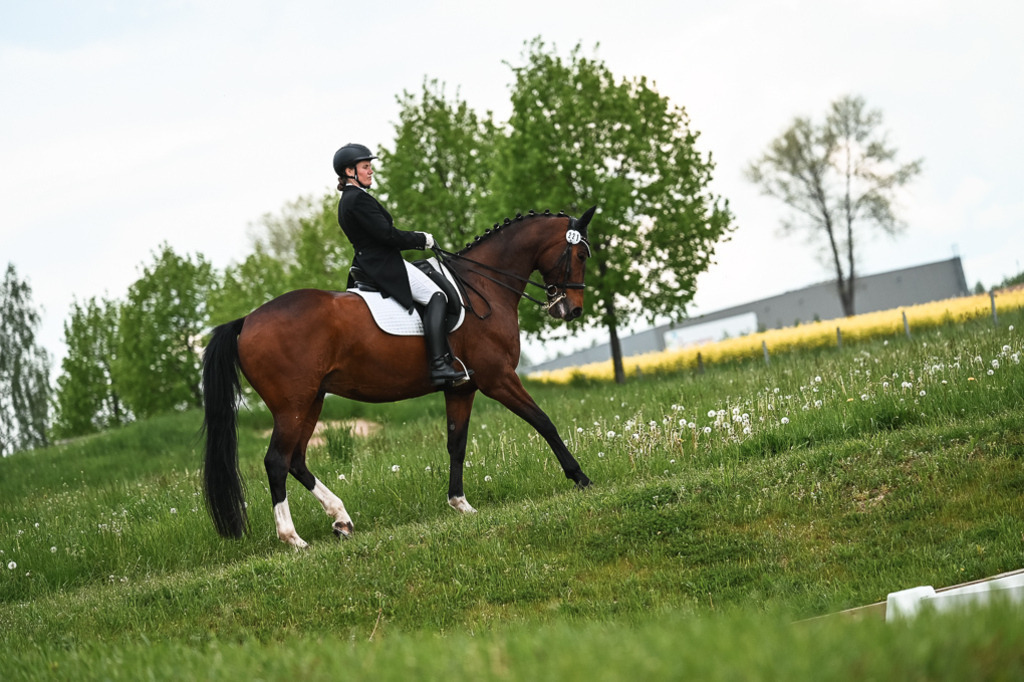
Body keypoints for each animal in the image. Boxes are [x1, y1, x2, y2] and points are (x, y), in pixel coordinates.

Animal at [201, 206, 597, 547]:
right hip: (291, 406)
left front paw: (460, 504)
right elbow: (543, 422)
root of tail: (246, 322)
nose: (572, 310)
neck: (482, 285)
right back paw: (293, 538)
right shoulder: (497, 377)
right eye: (580, 256)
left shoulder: (463, 387)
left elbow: (457, 443)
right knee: (277, 462)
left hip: (311, 400)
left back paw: (341, 519)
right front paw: (580, 477)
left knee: (296, 460)